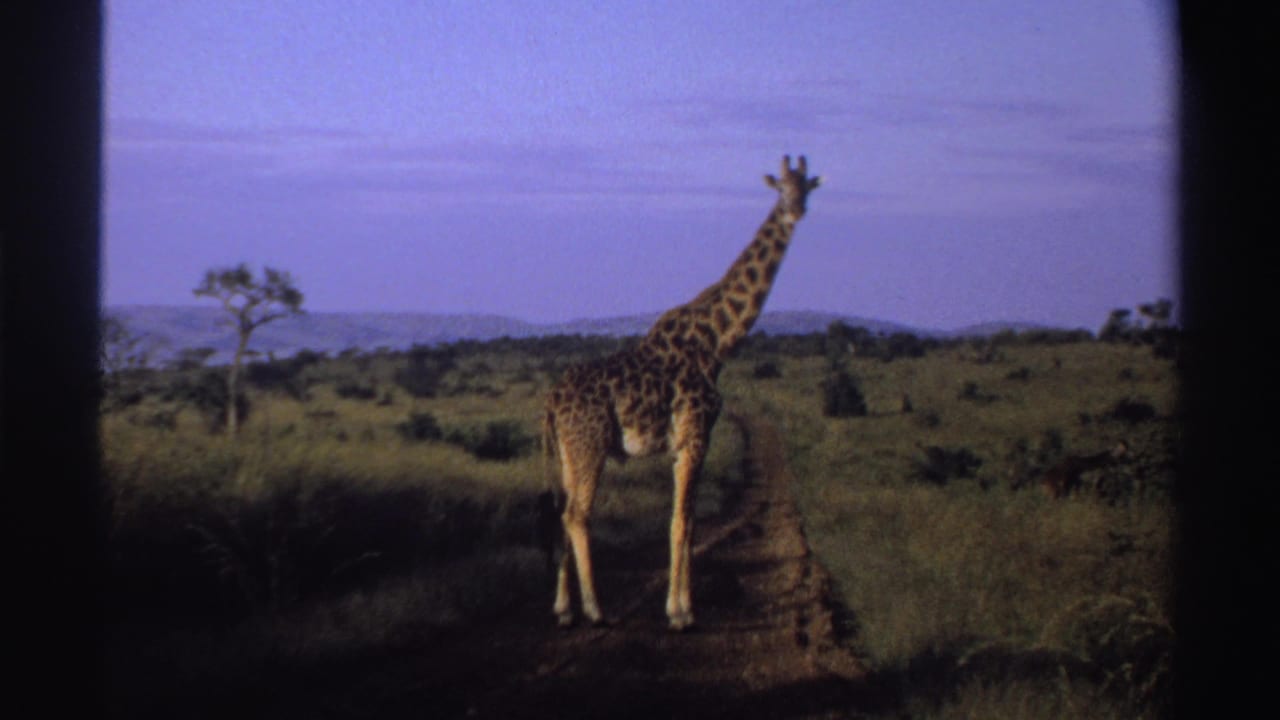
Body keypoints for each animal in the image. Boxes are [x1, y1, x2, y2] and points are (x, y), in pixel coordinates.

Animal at [543, 155, 821, 630]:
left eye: (805, 188)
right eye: (781, 188)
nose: (796, 211)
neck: (717, 341)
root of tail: (551, 402)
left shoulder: (683, 443)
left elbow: (683, 521)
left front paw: (680, 606)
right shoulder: (695, 435)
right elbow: (683, 521)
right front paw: (681, 612)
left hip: (567, 451)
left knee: (563, 514)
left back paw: (563, 610)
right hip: (590, 445)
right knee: (577, 515)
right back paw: (597, 609)